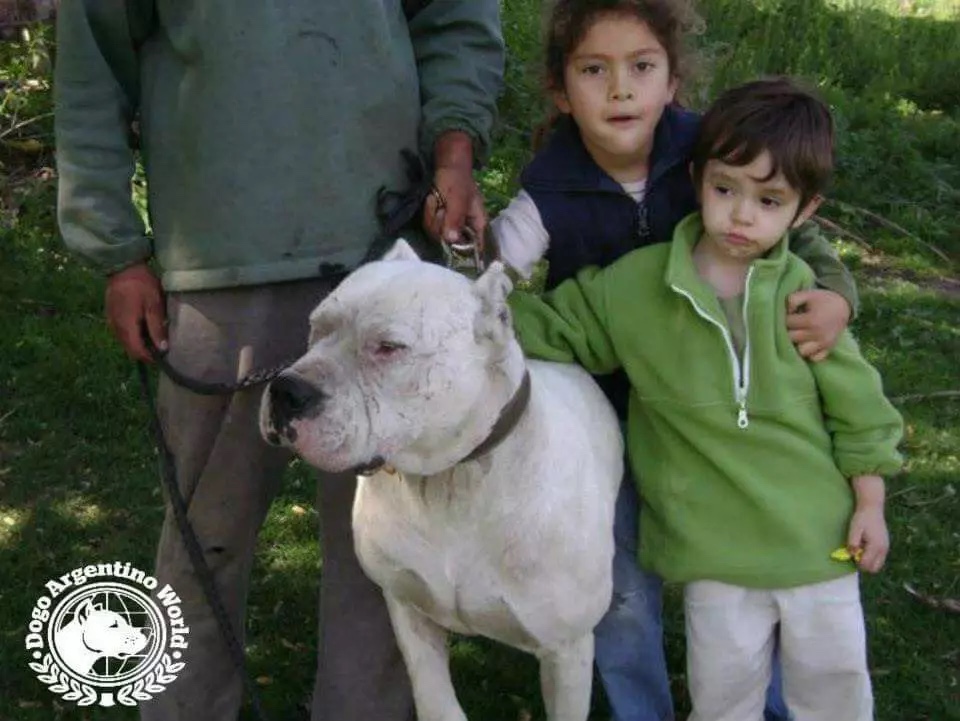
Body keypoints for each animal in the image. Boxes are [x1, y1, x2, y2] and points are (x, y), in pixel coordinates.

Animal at [260, 243, 624, 720]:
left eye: (388, 348)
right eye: (316, 327)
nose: (285, 390)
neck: (452, 480)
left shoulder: (567, 652)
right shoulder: (407, 611)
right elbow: (437, 701)